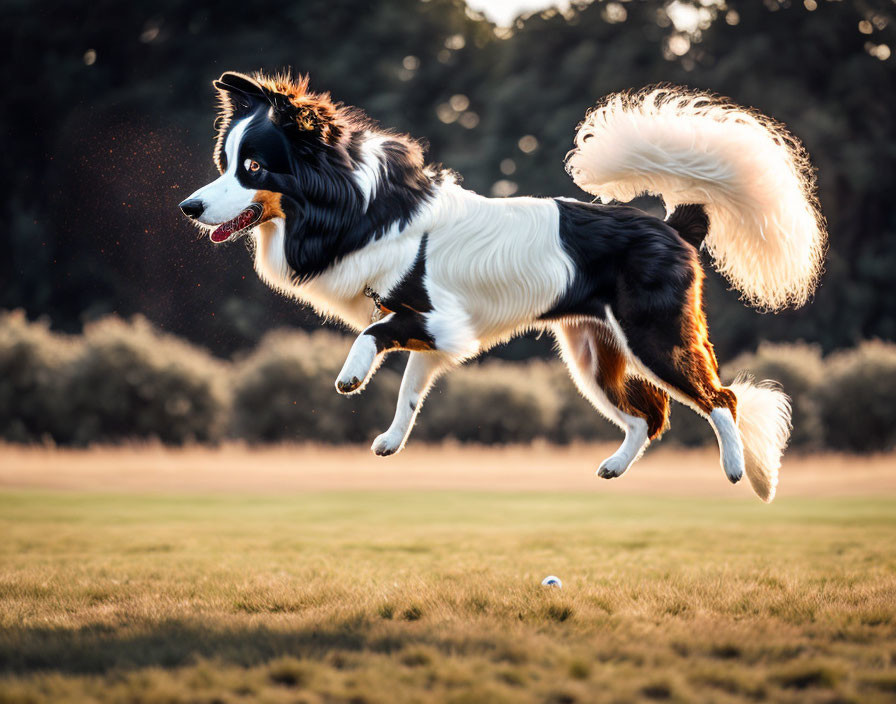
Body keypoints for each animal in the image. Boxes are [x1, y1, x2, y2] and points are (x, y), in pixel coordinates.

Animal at [180, 73, 824, 500]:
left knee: (721, 397)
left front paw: (351, 376)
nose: (189, 208)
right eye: (225, 162)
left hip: (655, 336)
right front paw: (391, 440)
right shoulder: (434, 339)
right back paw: (616, 467)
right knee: (650, 415)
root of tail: (672, 224)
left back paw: (739, 469)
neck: (360, 207)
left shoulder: (442, 323)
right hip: (593, 355)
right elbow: (409, 390)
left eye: (254, 169)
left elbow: (372, 334)